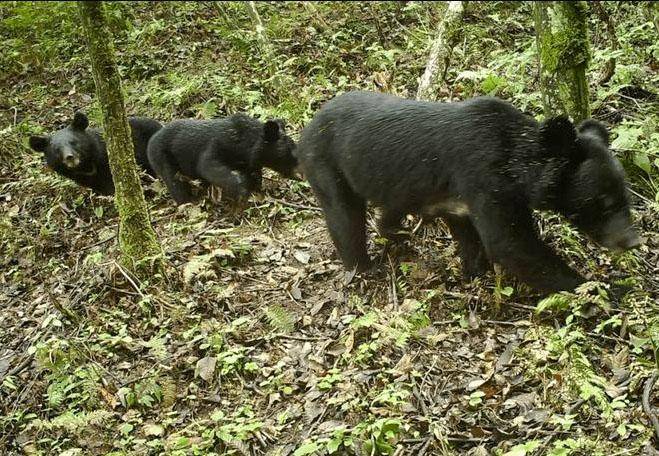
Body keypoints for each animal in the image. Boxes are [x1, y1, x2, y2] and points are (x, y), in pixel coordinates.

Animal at [147, 113, 300, 206]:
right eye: (287, 153)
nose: (300, 174)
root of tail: (152, 139)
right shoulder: (218, 145)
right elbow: (208, 166)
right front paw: (241, 192)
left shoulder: (247, 162)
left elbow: (254, 174)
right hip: (162, 157)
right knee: (173, 181)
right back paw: (186, 201)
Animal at [298, 91, 640, 294]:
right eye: (604, 203)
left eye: (625, 197)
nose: (632, 241)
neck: (516, 162)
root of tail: (307, 128)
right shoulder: (485, 180)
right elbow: (511, 243)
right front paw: (601, 290)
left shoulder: (458, 201)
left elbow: (471, 237)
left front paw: (476, 272)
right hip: (327, 165)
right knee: (345, 217)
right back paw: (362, 266)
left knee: (391, 207)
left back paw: (396, 234)